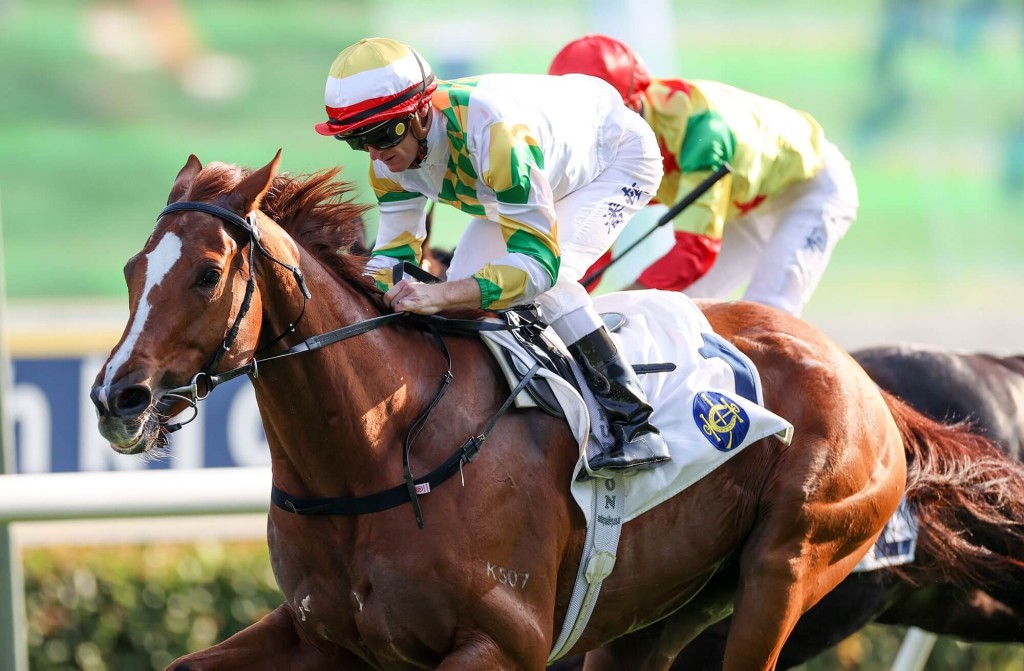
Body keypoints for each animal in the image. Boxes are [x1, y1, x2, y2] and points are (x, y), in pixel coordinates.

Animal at [89, 151, 1024, 671]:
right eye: (133, 268)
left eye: (207, 273)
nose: (117, 397)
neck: (380, 452)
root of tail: (864, 379)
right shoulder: (327, 635)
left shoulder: (501, 642)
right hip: (663, 608)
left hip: (792, 568)